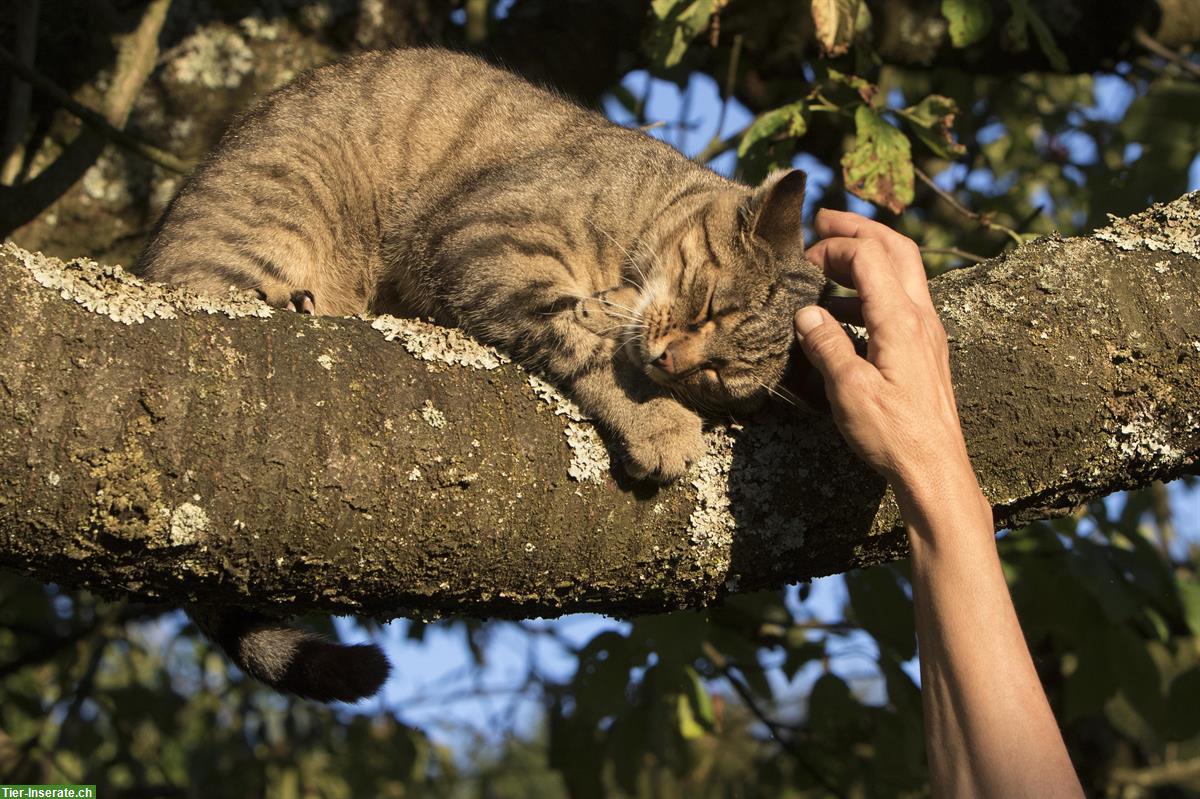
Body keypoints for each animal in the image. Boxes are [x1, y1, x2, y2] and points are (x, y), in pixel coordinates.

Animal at [133, 46, 825, 700]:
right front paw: (659, 421)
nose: (671, 363)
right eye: (709, 307)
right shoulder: (488, 238)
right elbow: (587, 340)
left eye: (716, 377)